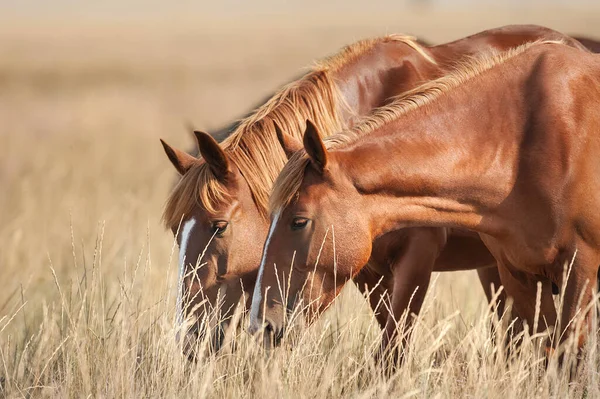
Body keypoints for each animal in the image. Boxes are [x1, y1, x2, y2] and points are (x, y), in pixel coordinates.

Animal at [159, 25, 584, 356]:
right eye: (176, 233)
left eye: (219, 227)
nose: (187, 337)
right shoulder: (366, 271)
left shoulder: (417, 258)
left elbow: (393, 349)